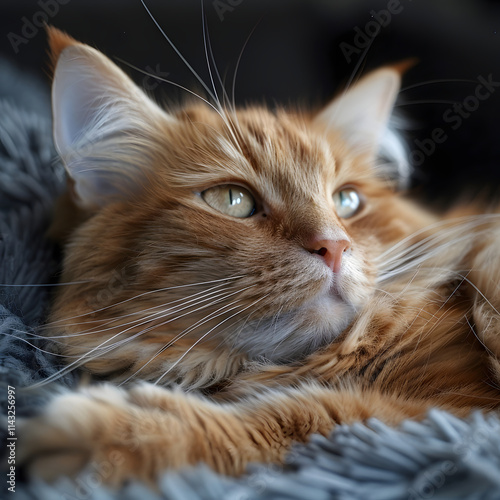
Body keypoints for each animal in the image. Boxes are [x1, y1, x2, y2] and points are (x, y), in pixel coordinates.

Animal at [16, 25, 500, 486]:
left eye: (346, 201)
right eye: (232, 201)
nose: (334, 246)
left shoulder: (453, 411)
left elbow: (306, 417)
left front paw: (111, 434)